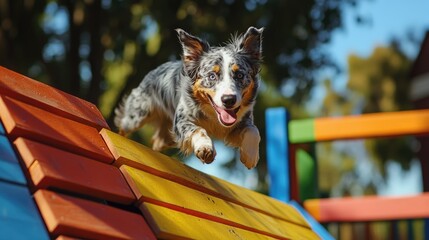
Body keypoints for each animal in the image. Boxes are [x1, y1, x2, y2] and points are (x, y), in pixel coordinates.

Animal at [113, 26, 260, 169]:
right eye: (212, 76)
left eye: (239, 75)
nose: (229, 100)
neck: (214, 117)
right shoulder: (181, 120)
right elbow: (198, 129)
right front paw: (205, 148)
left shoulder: (240, 122)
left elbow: (254, 130)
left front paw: (250, 156)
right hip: (138, 116)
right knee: (123, 126)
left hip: (167, 136)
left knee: (157, 142)